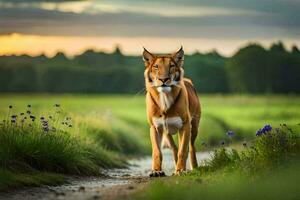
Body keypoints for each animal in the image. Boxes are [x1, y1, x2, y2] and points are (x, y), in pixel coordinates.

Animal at [143, 47, 202, 177]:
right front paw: (156, 171)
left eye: (171, 66)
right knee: (174, 148)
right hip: (167, 132)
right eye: (156, 66)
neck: (164, 98)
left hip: (194, 126)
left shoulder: (185, 125)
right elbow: (157, 151)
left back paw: (193, 167)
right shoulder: (155, 127)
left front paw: (180, 170)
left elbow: (183, 150)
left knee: (191, 147)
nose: (163, 79)